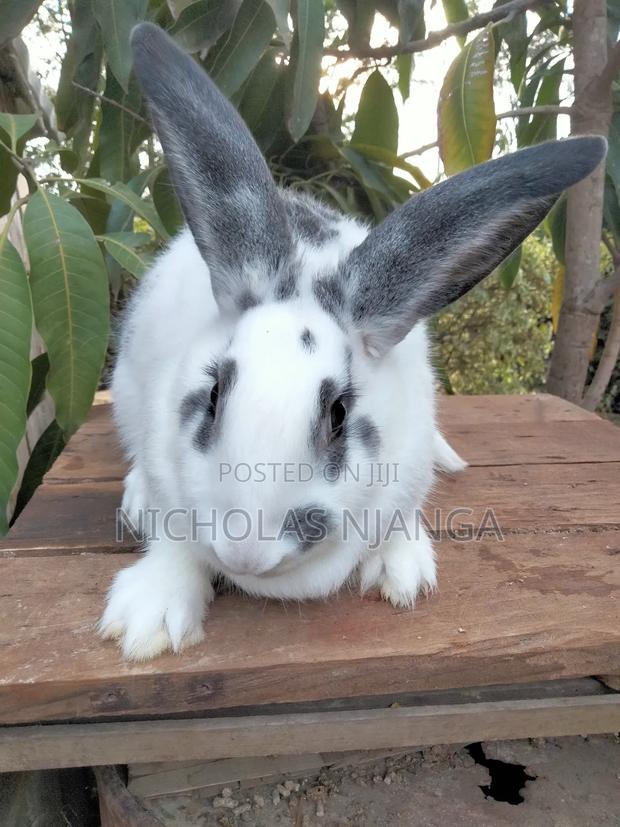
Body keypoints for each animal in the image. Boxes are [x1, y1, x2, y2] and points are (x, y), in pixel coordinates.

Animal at [98, 22, 607, 661]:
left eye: (339, 414)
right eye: (213, 397)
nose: (245, 550)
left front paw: (403, 573)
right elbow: (174, 542)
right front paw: (149, 621)